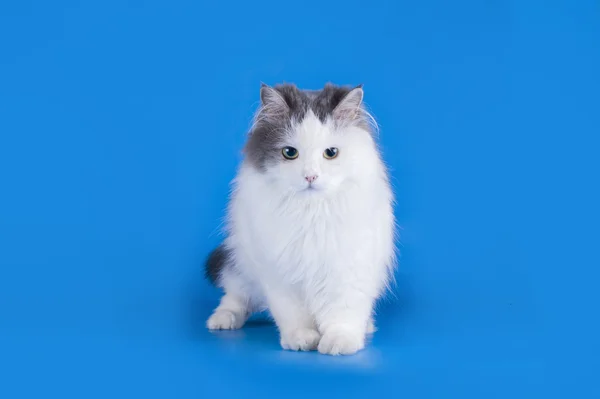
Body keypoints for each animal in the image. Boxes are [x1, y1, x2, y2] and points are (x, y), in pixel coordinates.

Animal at [204, 82, 396, 356]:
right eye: (289, 153)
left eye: (331, 153)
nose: (310, 176)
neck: (312, 213)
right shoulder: (281, 272)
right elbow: (294, 315)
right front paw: (302, 339)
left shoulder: (349, 266)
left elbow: (343, 313)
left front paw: (340, 342)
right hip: (240, 264)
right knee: (235, 298)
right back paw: (222, 320)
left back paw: (368, 326)